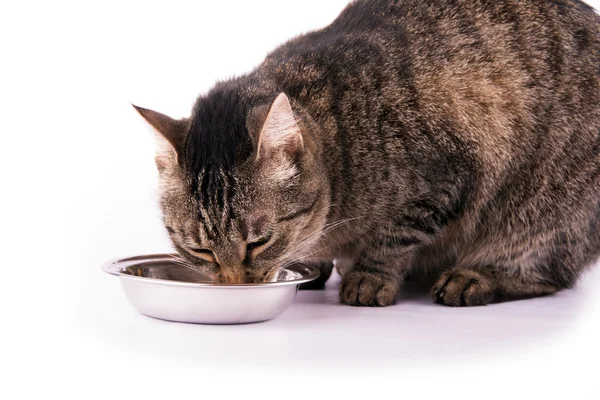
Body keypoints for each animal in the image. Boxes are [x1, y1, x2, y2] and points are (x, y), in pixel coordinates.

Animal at [134, 0, 600, 308]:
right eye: (200, 251)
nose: (233, 284)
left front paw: (369, 276)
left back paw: (475, 278)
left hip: (545, 212)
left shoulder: (446, 176)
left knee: (548, 274)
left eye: (258, 242)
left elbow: (394, 235)